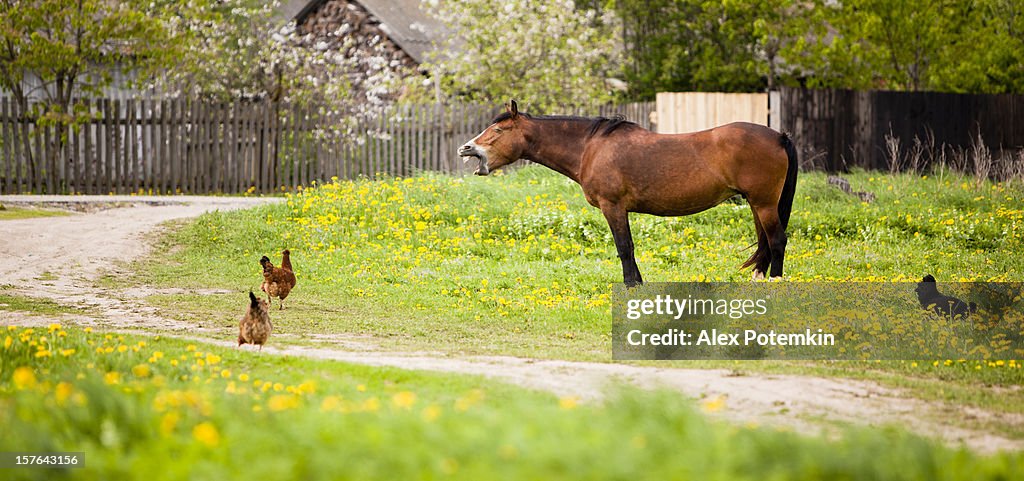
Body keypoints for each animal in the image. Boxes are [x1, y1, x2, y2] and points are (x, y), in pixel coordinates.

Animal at [458, 99, 798, 284]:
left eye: (498, 130)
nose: (466, 148)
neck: (590, 147)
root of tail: (778, 136)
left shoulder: (614, 207)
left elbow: (625, 248)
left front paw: (631, 286)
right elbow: (629, 248)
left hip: (764, 203)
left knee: (777, 241)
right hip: (757, 204)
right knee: (765, 243)